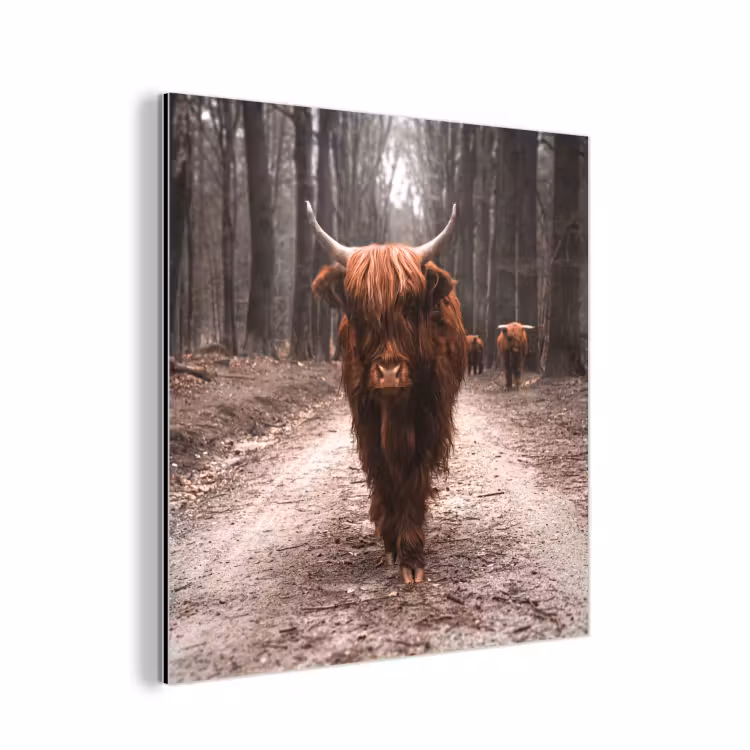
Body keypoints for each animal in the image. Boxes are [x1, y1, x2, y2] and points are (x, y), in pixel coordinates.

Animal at [309, 201, 466, 584]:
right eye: (358, 310)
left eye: (409, 306)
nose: (390, 373)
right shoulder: (366, 421)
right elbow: (383, 474)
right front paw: (392, 541)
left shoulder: (430, 421)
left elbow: (412, 478)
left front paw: (411, 555)